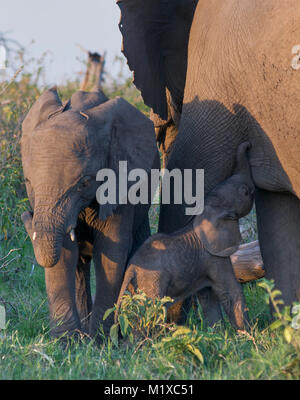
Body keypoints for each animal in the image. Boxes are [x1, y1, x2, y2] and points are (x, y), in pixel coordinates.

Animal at [21, 88, 159, 340]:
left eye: (84, 183)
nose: (28, 214)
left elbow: (111, 251)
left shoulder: (120, 180)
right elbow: (65, 252)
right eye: (28, 182)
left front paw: (100, 341)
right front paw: (66, 342)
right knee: (80, 266)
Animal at [116, 142, 253, 330]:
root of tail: (130, 269)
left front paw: (216, 332)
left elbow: (208, 296)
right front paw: (248, 334)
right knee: (151, 311)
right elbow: (231, 292)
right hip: (153, 281)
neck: (207, 209)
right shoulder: (214, 257)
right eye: (245, 192)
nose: (248, 145)